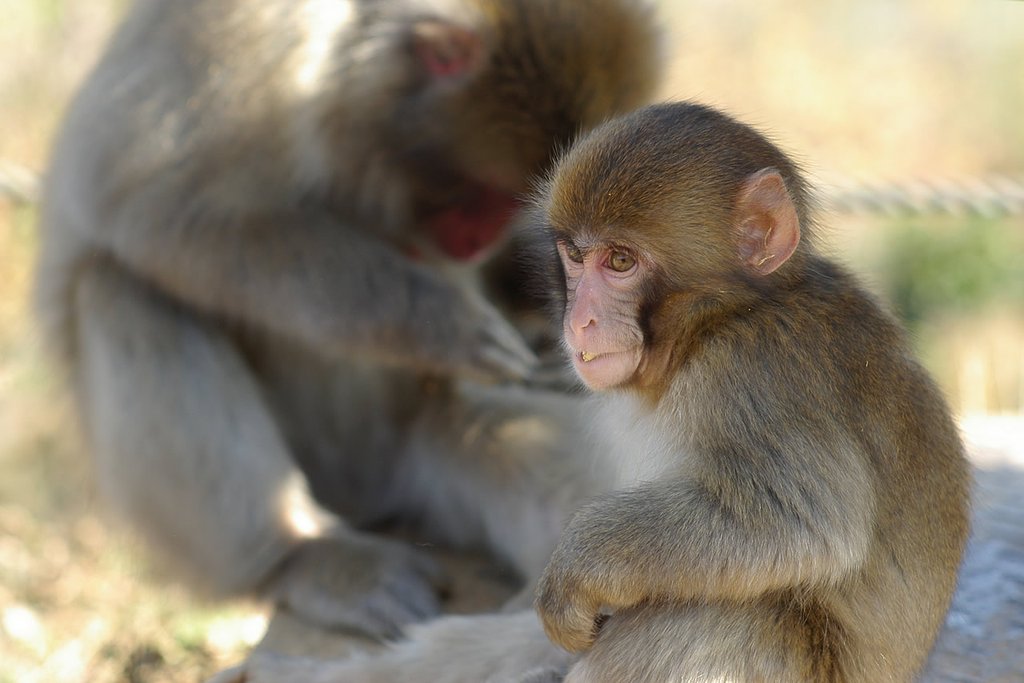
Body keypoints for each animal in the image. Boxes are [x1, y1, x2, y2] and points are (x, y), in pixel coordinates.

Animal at [35, 0, 663, 639]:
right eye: (488, 192)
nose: (479, 241)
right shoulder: (247, 51)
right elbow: (159, 212)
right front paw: (437, 323)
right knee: (123, 287)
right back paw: (301, 553)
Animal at [523, 101, 971, 682]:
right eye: (575, 257)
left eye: (620, 261)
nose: (580, 321)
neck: (717, 320)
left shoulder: (752, 370)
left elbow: (797, 523)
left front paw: (574, 573)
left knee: (726, 615)